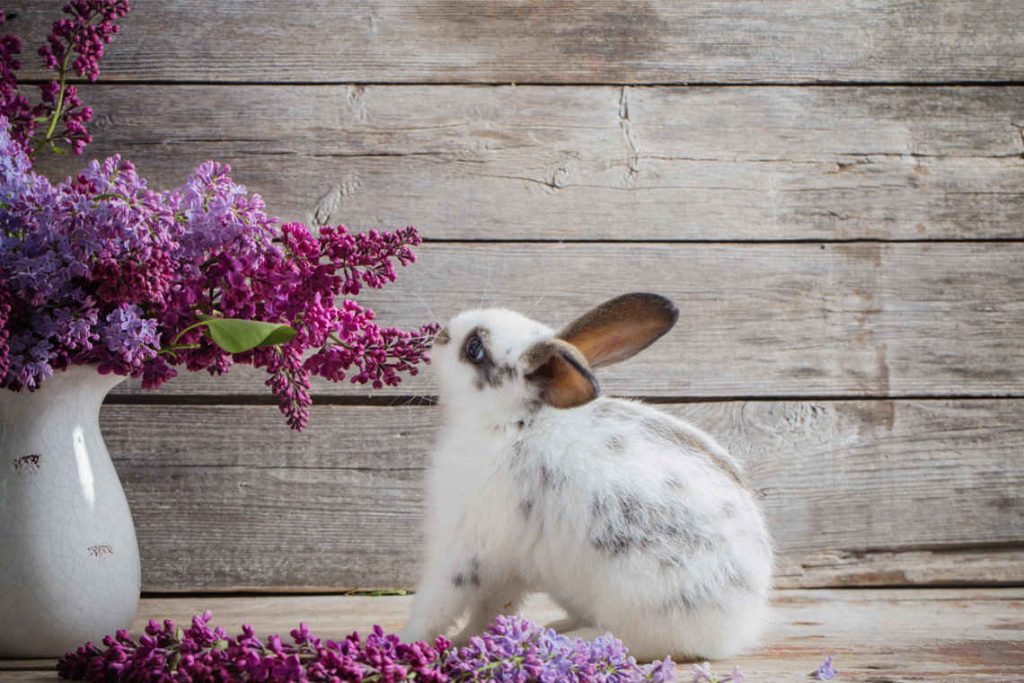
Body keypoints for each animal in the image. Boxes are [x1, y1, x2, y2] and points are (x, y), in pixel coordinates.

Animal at [400, 293, 773, 661]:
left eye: (475, 348)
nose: (441, 334)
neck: (513, 422)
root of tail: (743, 625)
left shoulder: (463, 551)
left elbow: (437, 605)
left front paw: (406, 641)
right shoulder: (507, 566)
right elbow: (490, 610)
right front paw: (469, 640)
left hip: (634, 594)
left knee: (636, 641)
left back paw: (565, 639)